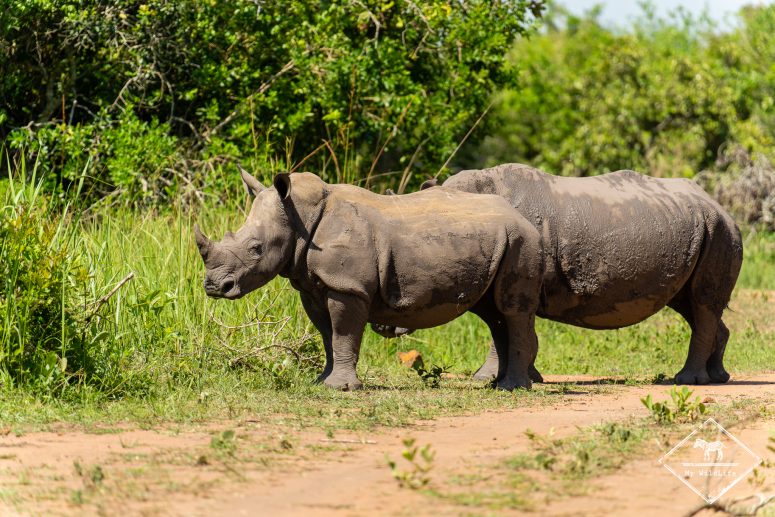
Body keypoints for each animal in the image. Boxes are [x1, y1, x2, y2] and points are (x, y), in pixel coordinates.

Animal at [195, 167, 544, 390]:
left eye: (256, 248)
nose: (214, 286)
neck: (299, 218)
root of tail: (523, 217)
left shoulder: (347, 286)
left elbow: (343, 333)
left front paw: (340, 388)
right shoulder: (313, 287)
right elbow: (328, 336)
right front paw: (322, 382)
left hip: (520, 240)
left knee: (511, 311)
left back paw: (512, 388)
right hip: (501, 241)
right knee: (492, 313)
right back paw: (498, 384)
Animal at [415, 164, 743, 385]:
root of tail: (719, 205)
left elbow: (506, 325)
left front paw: (499, 378)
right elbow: (506, 327)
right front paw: (520, 377)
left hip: (719, 229)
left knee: (701, 303)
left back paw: (687, 380)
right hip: (703, 228)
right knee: (690, 304)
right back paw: (718, 376)